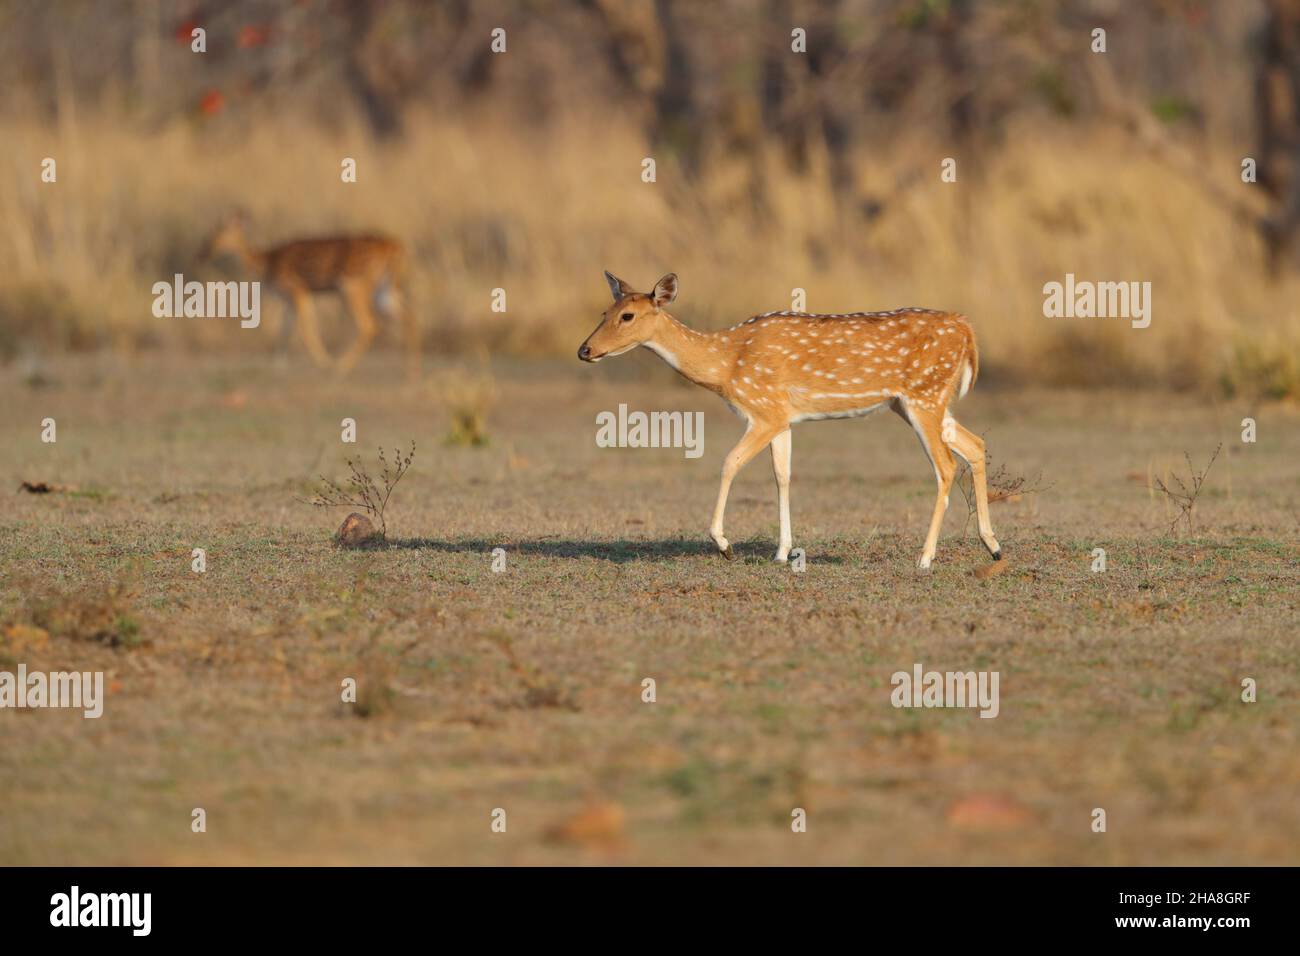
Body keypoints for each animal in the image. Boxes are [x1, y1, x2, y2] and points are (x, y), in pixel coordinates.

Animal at [199, 212, 419, 378]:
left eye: (217, 235)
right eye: (212, 236)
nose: (204, 252)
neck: (266, 260)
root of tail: (396, 246)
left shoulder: (299, 292)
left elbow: (305, 330)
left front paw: (324, 362)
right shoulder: (293, 299)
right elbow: (286, 329)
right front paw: (278, 364)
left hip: (352, 288)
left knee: (369, 325)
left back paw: (340, 366)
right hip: (383, 291)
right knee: (409, 317)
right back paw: (410, 373)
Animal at [578, 272, 1002, 570]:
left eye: (628, 315)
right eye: (604, 313)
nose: (585, 350)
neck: (726, 365)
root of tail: (966, 330)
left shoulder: (764, 410)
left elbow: (729, 462)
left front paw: (724, 545)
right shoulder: (784, 418)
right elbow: (782, 475)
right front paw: (782, 552)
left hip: (924, 396)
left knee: (945, 466)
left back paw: (926, 558)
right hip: (918, 403)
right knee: (975, 444)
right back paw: (993, 546)